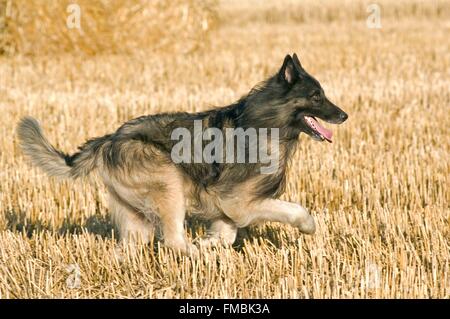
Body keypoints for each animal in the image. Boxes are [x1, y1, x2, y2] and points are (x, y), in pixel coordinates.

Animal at [16, 55, 348, 255]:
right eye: (316, 96)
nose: (344, 115)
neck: (268, 120)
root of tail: (110, 139)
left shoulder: (225, 203)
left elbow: (226, 233)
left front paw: (212, 243)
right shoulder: (239, 201)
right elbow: (294, 210)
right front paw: (309, 227)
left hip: (136, 215)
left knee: (132, 247)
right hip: (168, 184)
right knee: (174, 241)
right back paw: (195, 254)